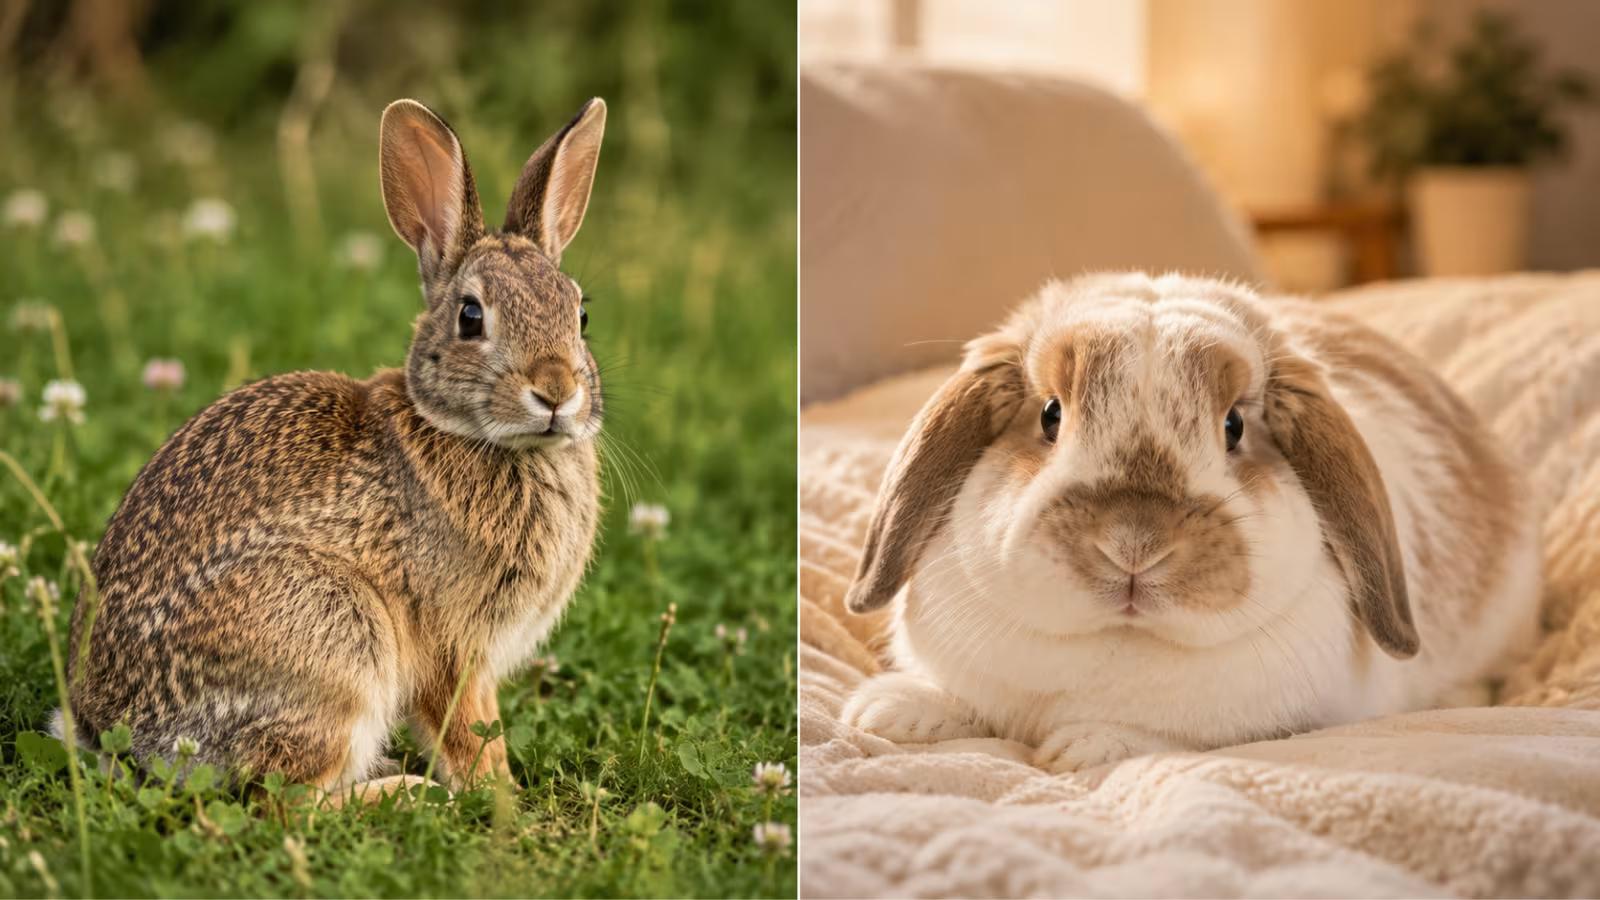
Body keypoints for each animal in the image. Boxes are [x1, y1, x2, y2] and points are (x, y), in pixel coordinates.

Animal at [58, 97, 609, 798]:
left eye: (581, 315)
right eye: (471, 317)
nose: (556, 391)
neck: (473, 435)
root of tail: (110, 733)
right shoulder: (451, 646)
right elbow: (470, 732)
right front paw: (502, 796)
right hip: (336, 640)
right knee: (285, 797)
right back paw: (408, 795)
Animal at [840, 273, 1542, 774]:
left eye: (1233, 426)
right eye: (1049, 415)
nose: (1132, 545)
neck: (1116, 645)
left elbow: (1168, 736)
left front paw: (1085, 747)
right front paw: (888, 712)